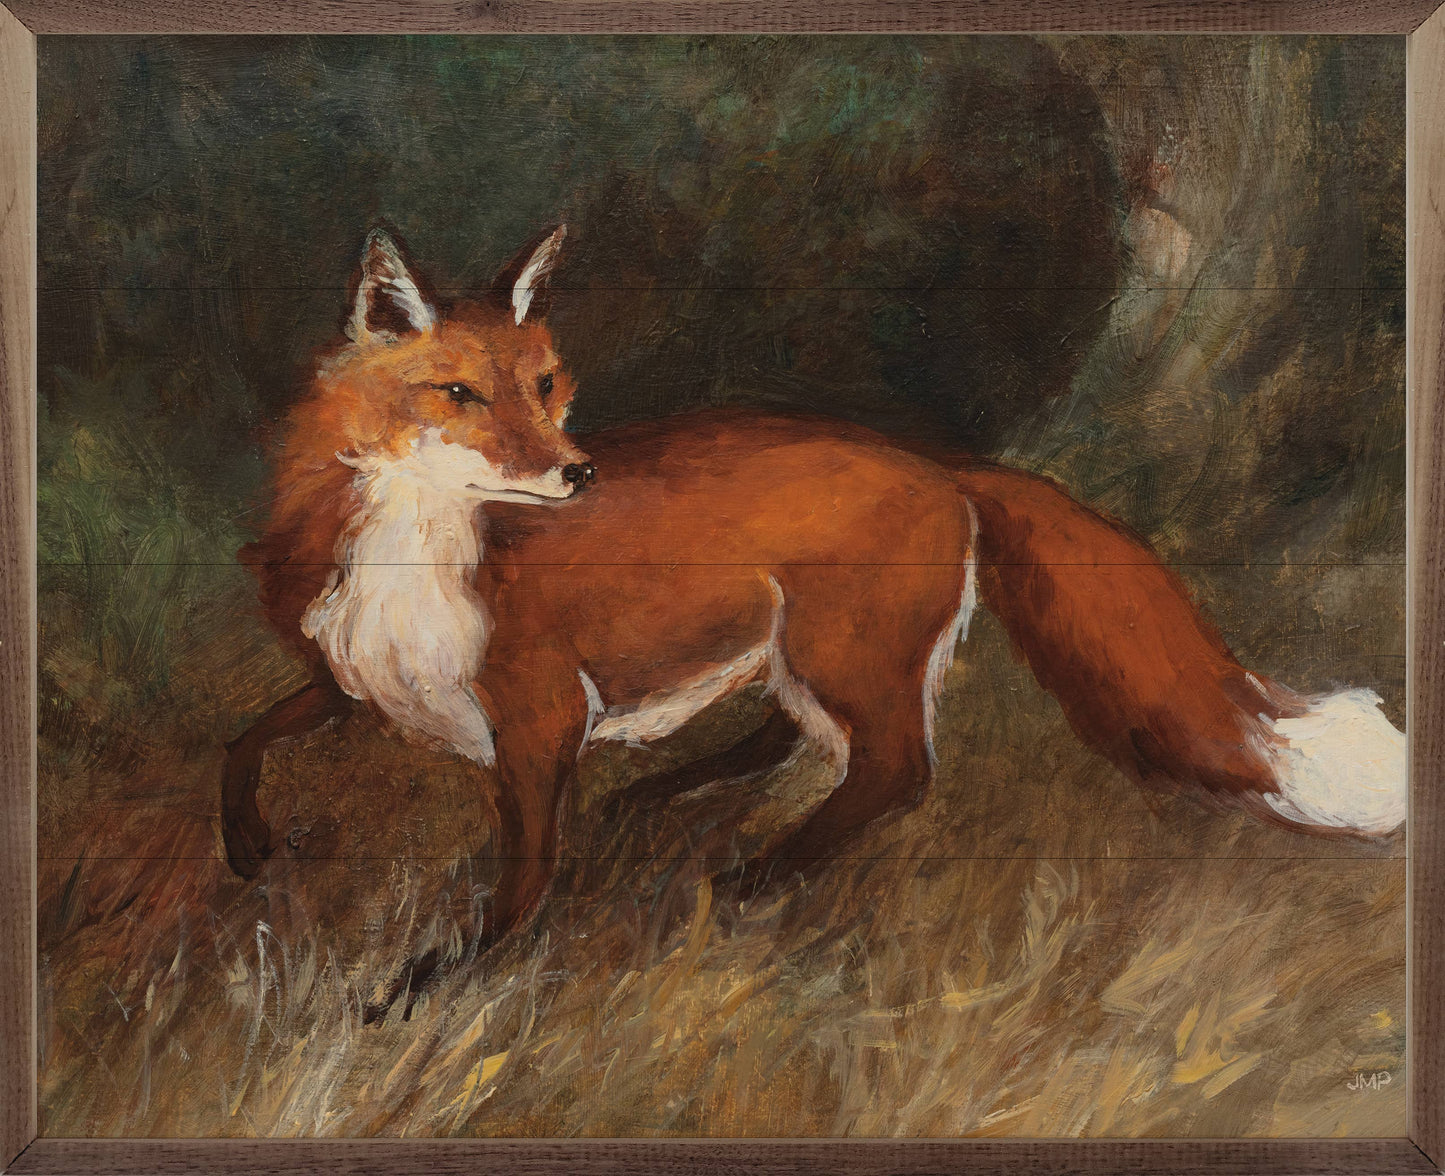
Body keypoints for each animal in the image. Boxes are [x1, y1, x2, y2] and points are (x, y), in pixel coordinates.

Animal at [224, 223, 1407, 980]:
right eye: (460, 393)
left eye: (544, 384)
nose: (576, 473)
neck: (416, 558)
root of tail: (940, 464)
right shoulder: (353, 681)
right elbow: (245, 738)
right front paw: (246, 850)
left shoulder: (537, 715)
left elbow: (524, 869)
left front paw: (452, 975)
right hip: (795, 651)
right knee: (796, 742)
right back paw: (665, 801)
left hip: (840, 653)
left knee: (892, 770)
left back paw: (752, 876)